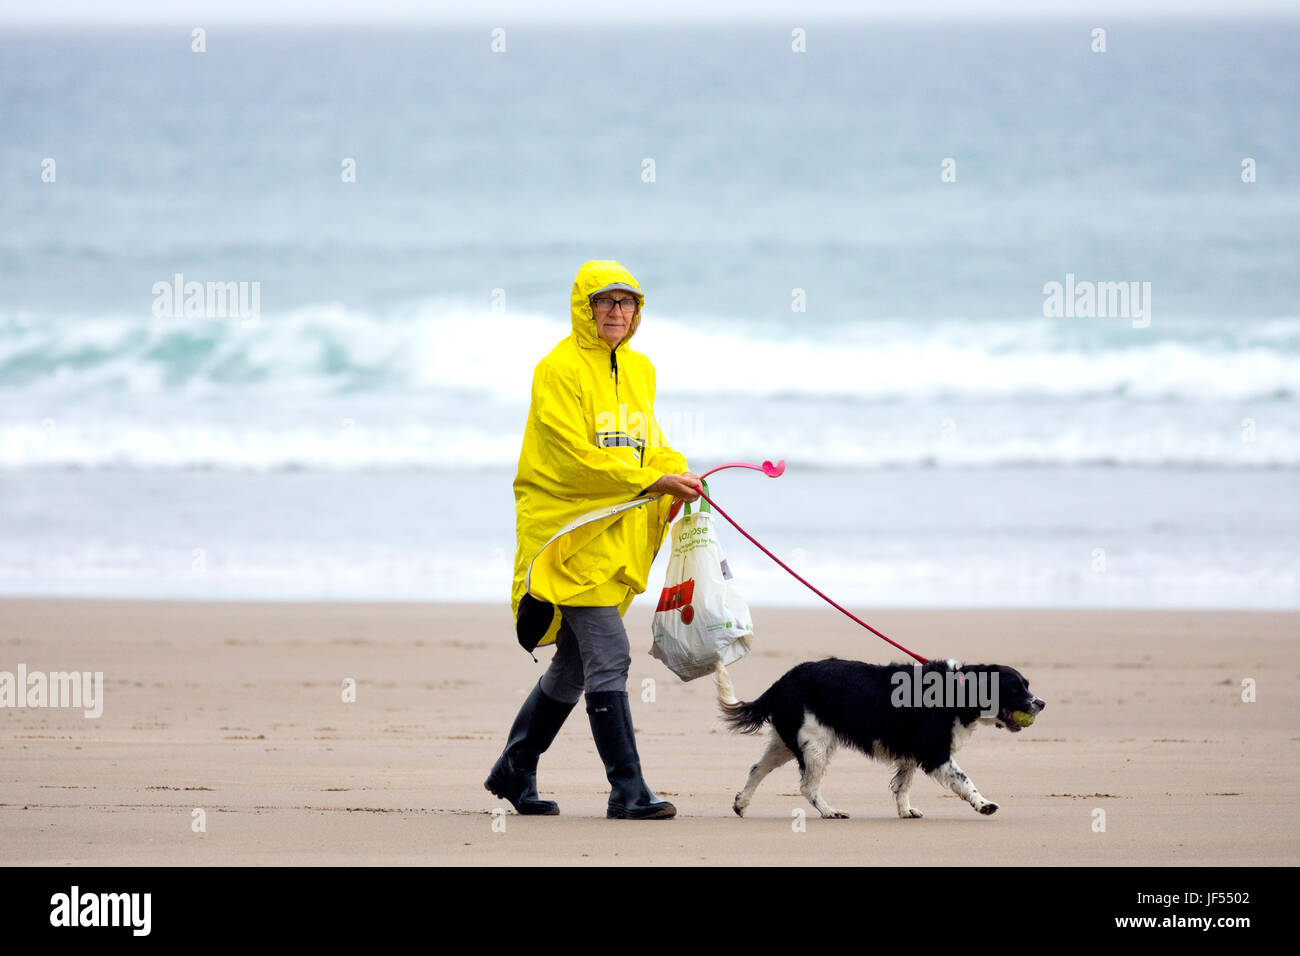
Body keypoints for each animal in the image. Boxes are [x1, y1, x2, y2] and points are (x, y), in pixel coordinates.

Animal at [717, 658, 1050, 822]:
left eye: (1027, 685)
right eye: (1016, 688)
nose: (1042, 703)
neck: (956, 690)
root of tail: (783, 680)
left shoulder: (912, 753)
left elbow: (902, 786)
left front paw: (905, 812)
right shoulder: (934, 752)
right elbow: (965, 780)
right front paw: (983, 805)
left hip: (788, 742)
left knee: (757, 769)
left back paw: (741, 804)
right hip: (815, 744)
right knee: (807, 786)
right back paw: (830, 812)